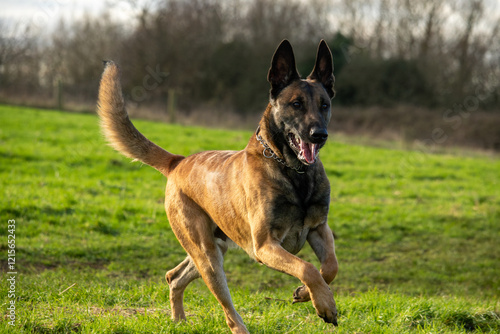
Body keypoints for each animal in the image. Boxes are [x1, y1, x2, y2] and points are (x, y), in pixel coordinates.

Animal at [96, 38, 340, 332]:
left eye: (324, 105)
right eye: (296, 104)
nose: (319, 135)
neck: (291, 170)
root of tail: (178, 162)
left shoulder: (318, 228)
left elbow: (329, 267)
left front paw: (308, 294)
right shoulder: (265, 246)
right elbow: (307, 268)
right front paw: (323, 303)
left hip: (213, 247)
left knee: (174, 276)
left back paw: (179, 321)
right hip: (208, 257)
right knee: (228, 310)